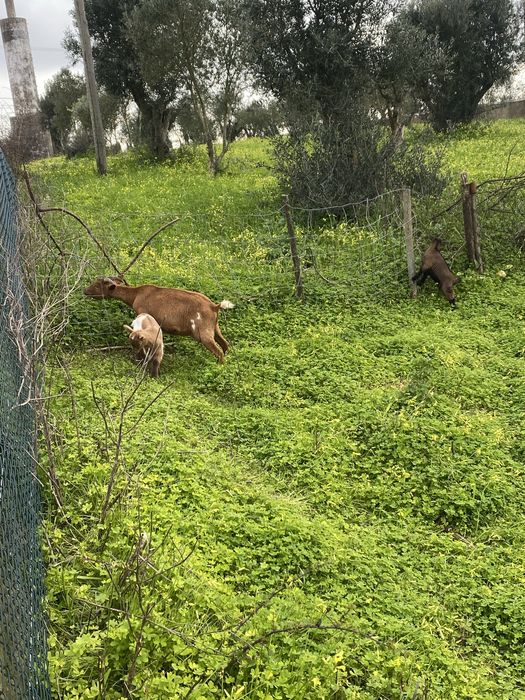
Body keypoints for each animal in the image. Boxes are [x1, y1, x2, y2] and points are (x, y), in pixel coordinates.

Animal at [85, 277, 234, 362]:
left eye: (97, 285)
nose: (84, 291)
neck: (136, 294)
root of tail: (214, 306)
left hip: (203, 333)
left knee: (219, 352)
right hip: (215, 328)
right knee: (225, 345)